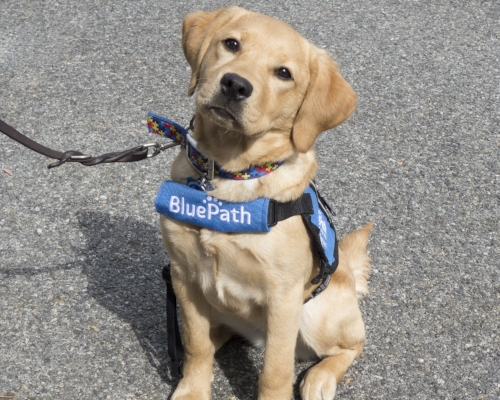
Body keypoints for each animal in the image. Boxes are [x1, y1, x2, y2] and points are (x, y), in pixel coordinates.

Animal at [160, 6, 372, 400]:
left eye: (284, 73)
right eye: (231, 44)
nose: (234, 85)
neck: (229, 174)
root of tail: (348, 277)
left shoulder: (283, 298)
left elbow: (275, 370)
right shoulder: (184, 277)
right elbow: (195, 344)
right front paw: (193, 389)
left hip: (316, 314)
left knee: (352, 343)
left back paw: (320, 377)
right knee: (213, 337)